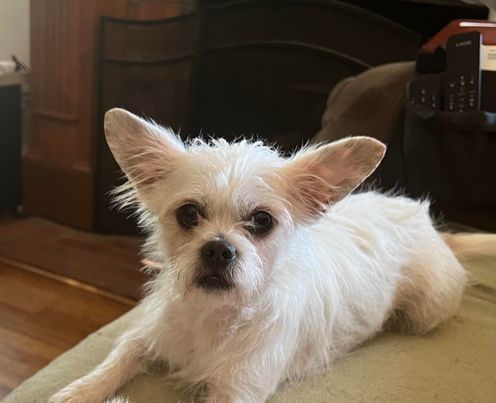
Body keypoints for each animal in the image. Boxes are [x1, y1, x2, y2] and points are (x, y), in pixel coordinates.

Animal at [51, 108, 480, 403]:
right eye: (188, 214)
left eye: (261, 221)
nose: (218, 248)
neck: (213, 316)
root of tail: (434, 229)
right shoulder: (147, 337)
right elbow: (118, 358)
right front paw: (77, 391)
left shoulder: (236, 392)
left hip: (428, 308)